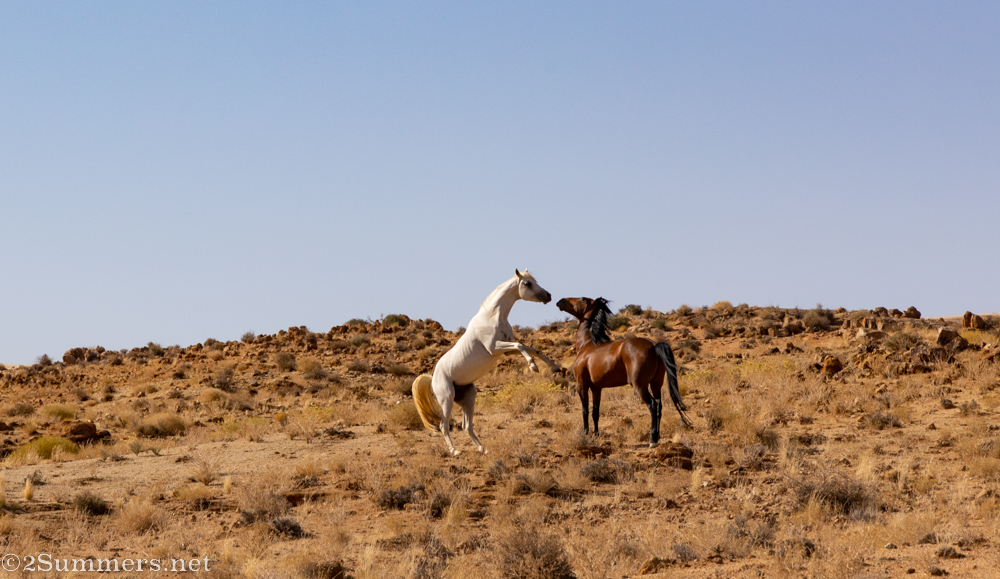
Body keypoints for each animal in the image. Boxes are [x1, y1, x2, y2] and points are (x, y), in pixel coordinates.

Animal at [412, 269, 560, 456]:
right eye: (527, 283)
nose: (548, 296)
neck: (492, 318)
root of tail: (432, 378)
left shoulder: (505, 350)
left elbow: (531, 349)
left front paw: (554, 367)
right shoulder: (495, 348)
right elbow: (521, 346)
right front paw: (533, 366)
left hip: (468, 398)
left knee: (466, 426)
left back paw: (483, 449)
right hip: (447, 399)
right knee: (443, 426)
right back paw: (455, 451)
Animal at [556, 296, 691, 447]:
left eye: (582, 299)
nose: (560, 301)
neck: (586, 345)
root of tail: (654, 346)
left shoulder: (582, 385)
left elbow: (585, 410)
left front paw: (586, 434)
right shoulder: (597, 388)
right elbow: (595, 412)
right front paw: (596, 435)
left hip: (640, 386)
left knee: (652, 405)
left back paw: (652, 440)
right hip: (656, 384)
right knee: (659, 406)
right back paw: (657, 437)